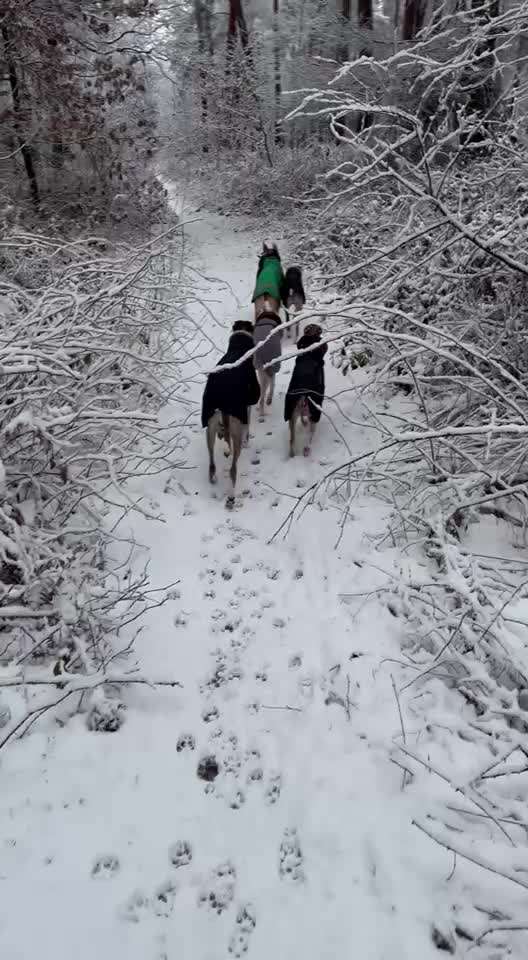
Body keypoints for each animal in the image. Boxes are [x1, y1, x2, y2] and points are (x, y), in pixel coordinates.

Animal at [202, 322, 260, 506]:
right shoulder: (247, 404)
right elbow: (248, 423)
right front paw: (248, 440)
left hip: (210, 421)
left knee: (211, 460)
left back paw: (213, 477)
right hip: (235, 426)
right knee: (233, 469)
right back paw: (231, 496)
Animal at [284, 322, 326, 458]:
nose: (318, 327)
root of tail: (303, 395)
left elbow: (303, 419)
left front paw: (303, 422)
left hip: (290, 414)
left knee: (291, 439)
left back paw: (292, 454)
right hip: (315, 412)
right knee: (310, 436)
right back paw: (306, 449)